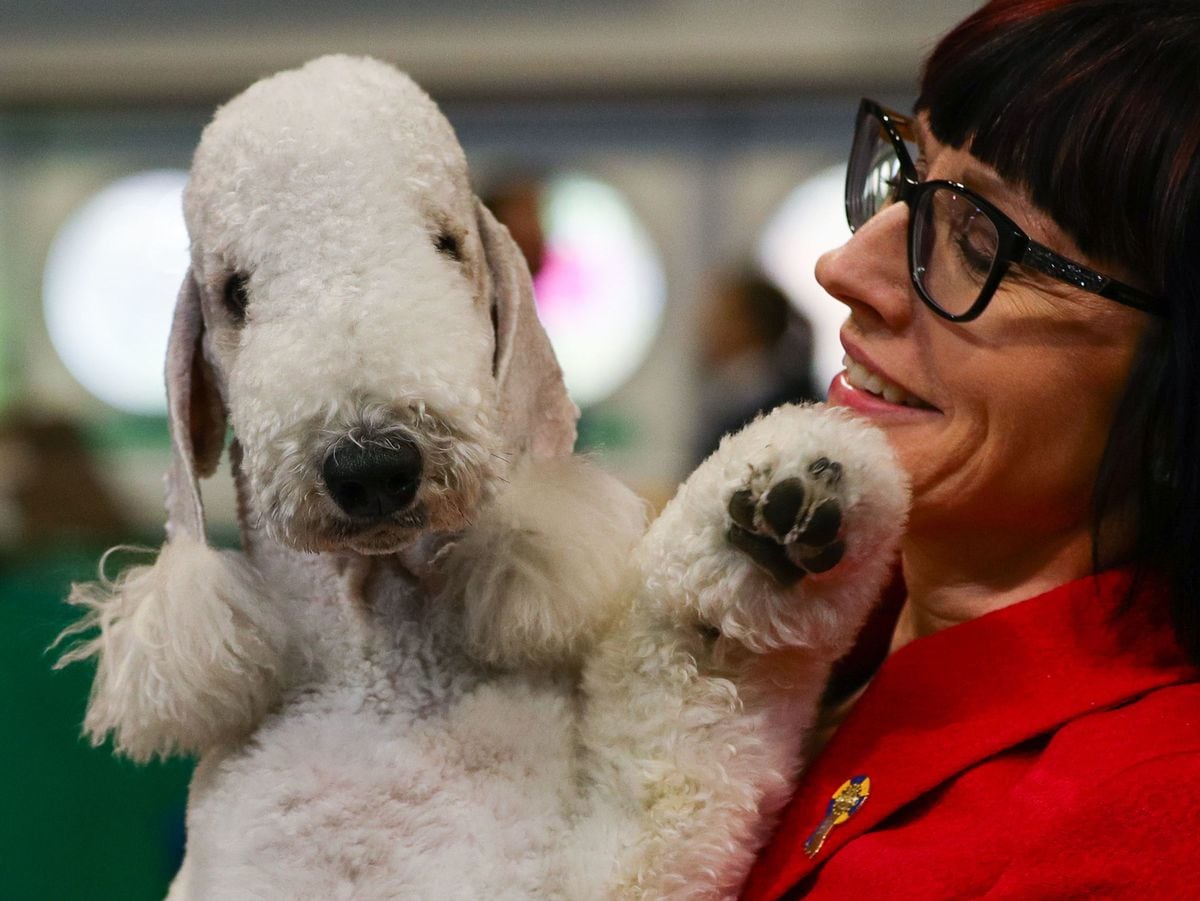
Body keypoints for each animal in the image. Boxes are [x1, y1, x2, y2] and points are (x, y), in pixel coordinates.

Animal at [56, 58, 902, 901]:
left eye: (447, 243)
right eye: (236, 291)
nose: (373, 464)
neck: (379, 684)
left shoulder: (579, 866)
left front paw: (776, 518)